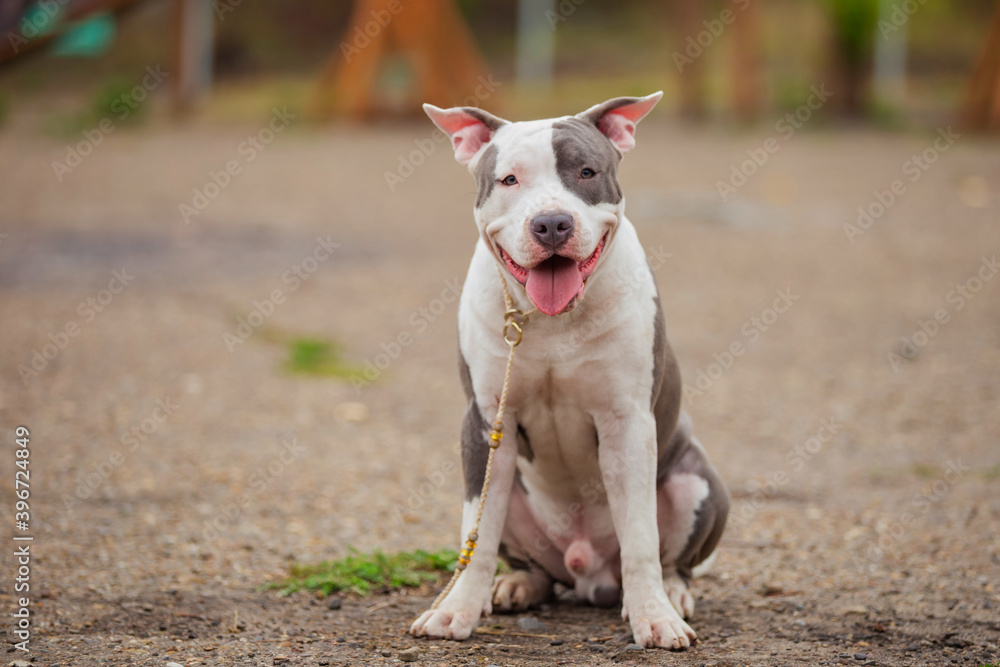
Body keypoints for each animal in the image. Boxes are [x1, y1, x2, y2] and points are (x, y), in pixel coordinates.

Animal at [410, 91, 732, 648]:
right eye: (509, 180)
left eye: (586, 172)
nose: (552, 223)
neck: (549, 320)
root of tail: (587, 573)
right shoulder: (485, 422)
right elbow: (477, 530)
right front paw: (456, 611)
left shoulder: (628, 424)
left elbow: (641, 536)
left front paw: (655, 618)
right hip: (513, 490)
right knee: (527, 558)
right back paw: (517, 585)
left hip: (696, 481)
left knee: (673, 559)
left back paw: (672, 592)